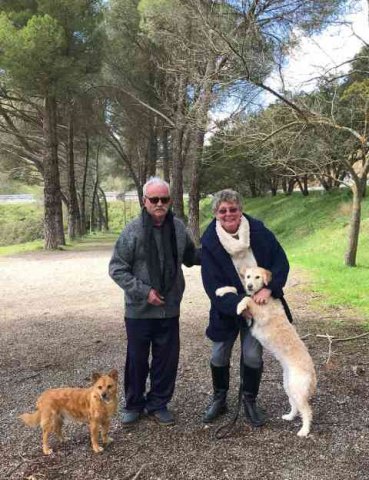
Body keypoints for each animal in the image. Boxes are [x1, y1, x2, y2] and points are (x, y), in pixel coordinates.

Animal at [216, 268, 316, 436]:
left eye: (257, 277)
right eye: (248, 276)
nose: (249, 286)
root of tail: (313, 371)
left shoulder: (260, 314)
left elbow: (246, 299)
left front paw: (239, 306)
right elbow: (237, 291)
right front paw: (221, 290)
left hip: (297, 390)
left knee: (307, 411)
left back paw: (304, 431)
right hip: (289, 386)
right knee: (295, 406)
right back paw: (289, 416)